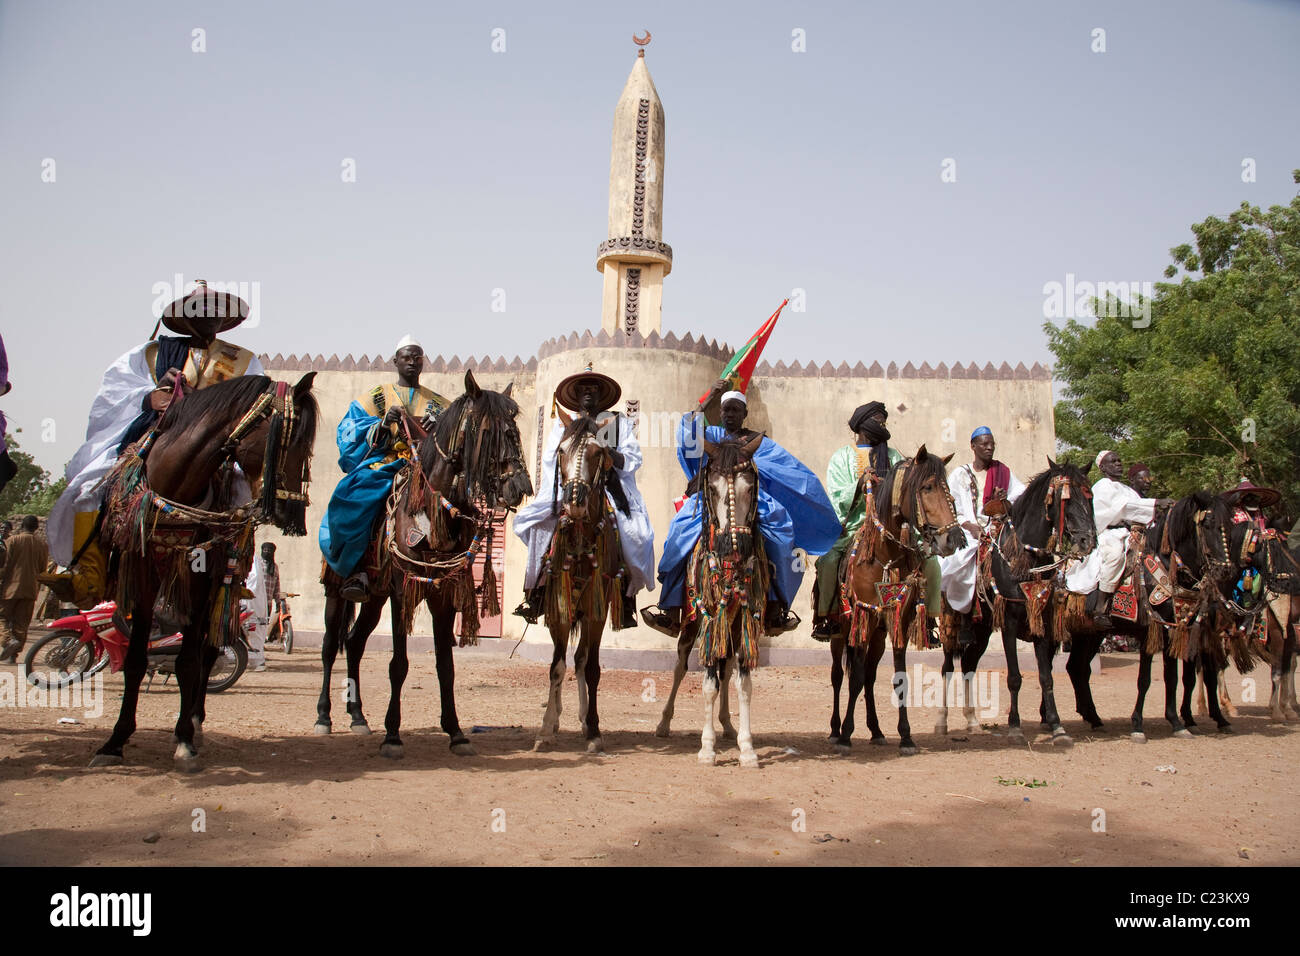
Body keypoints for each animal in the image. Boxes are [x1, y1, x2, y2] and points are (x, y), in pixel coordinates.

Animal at [91, 371, 317, 770]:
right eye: (294, 440)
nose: (293, 514)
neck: (177, 487)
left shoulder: (201, 575)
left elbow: (189, 660)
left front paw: (184, 739)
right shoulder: (143, 570)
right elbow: (136, 659)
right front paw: (116, 740)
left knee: (210, 650)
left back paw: (195, 719)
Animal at [312, 369, 530, 759]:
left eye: (515, 430)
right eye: (487, 431)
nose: (520, 485)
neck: (431, 511)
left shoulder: (442, 594)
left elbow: (446, 665)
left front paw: (456, 732)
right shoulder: (404, 591)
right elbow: (398, 665)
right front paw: (393, 736)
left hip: (374, 597)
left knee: (354, 643)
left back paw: (358, 717)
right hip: (337, 591)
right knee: (328, 646)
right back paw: (324, 717)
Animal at [530, 403, 626, 754]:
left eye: (598, 453)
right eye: (561, 451)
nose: (574, 502)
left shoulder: (596, 610)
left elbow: (592, 667)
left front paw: (594, 729)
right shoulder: (559, 609)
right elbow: (556, 667)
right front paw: (545, 728)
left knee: (582, 659)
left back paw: (585, 720)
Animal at [832, 447, 967, 754]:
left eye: (948, 489)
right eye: (927, 487)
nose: (953, 538)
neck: (884, 557)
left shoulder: (899, 620)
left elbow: (898, 677)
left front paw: (905, 736)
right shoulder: (865, 615)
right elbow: (854, 679)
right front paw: (845, 735)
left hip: (879, 635)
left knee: (870, 676)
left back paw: (876, 730)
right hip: (840, 632)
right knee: (838, 676)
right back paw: (834, 729)